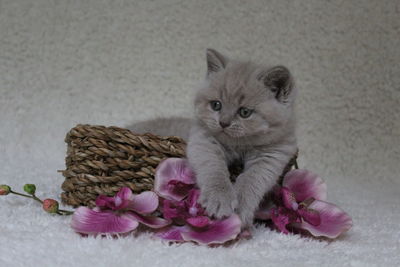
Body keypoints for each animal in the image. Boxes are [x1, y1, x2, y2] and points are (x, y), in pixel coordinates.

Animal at [130, 49, 296, 228]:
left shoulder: (272, 155)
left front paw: (241, 208)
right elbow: (214, 169)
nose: (223, 122)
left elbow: (252, 179)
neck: (240, 145)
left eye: (245, 112)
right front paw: (219, 199)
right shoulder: (203, 141)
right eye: (216, 105)